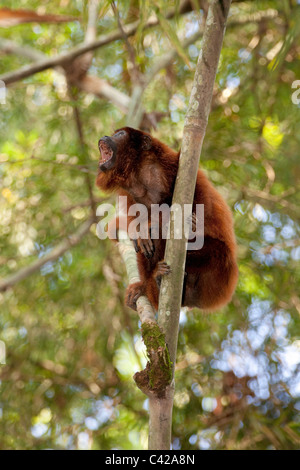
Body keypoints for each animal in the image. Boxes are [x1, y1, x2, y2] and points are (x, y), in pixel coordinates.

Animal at [95, 127, 237, 312]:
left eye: (119, 134)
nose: (105, 136)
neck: (139, 176)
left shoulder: (174, 167)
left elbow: (199, 204)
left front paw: (152, 225)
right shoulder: (130, 194)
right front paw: (138, 232)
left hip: (218, 274)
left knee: (217, 251)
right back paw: (151, 283)